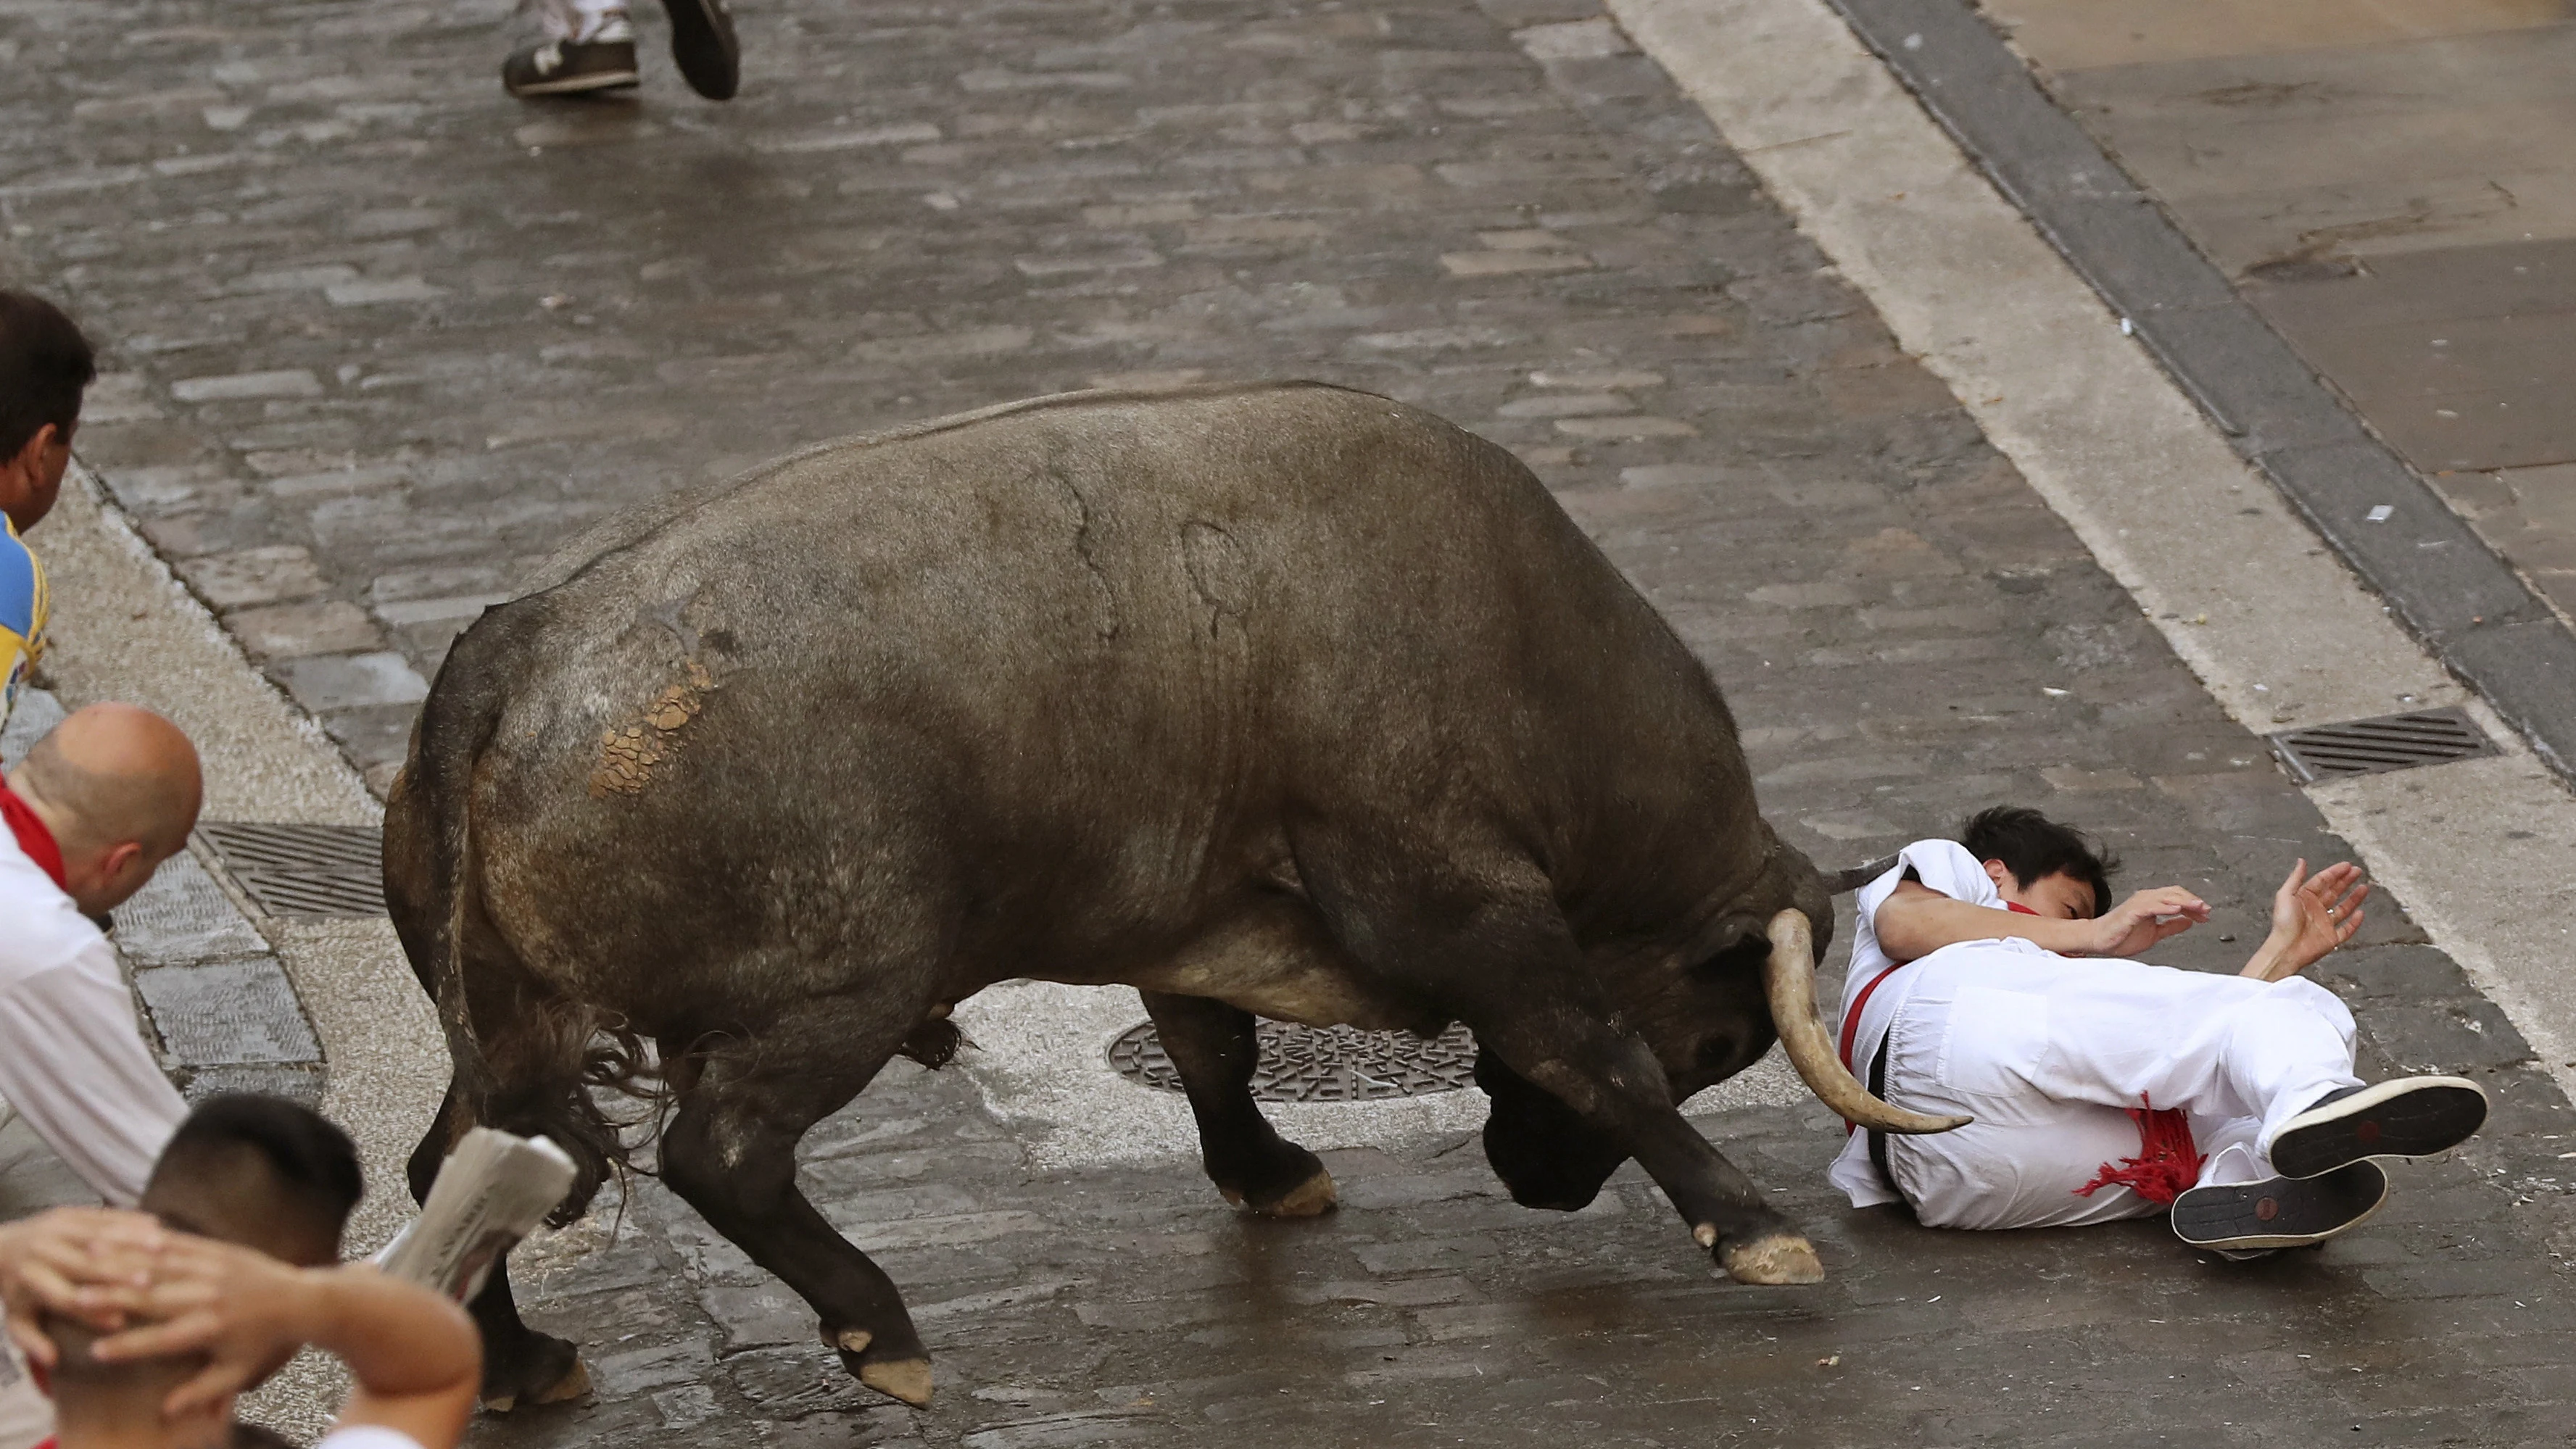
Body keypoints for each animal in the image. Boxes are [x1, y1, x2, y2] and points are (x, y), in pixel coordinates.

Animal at [381, 381, 1958, 1410]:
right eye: (1724, 1040)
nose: (1532, 1182)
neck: (1523, 642)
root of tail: (516, 645)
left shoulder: (1199, 913)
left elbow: (1212, 1046)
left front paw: (1263, 1167)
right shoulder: (1453, 900)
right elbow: (1595, 1051)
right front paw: (1746, 1224)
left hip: (517, 1034)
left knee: (464, 1162)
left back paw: (514, 1358)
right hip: (831, 1000)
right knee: (725, 1157)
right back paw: (879, 1329)